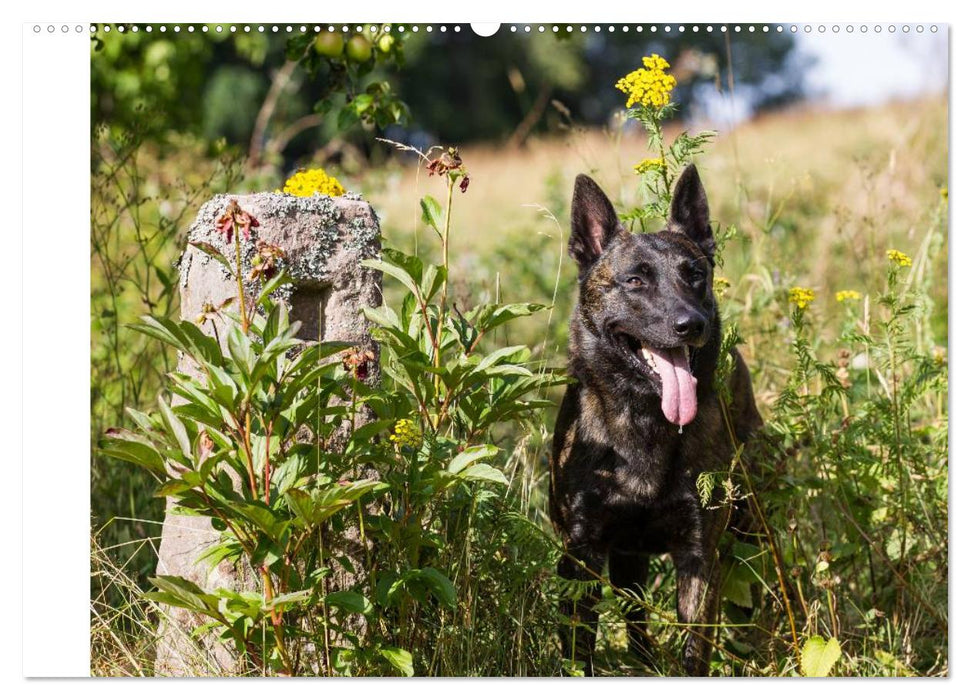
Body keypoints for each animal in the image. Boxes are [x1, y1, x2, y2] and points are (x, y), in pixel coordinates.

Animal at [552, 165, 764, 680]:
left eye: (696, 275)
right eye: (634, 280)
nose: (691, 325)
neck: (644, 418)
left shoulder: (698, 556)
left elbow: (695, 653)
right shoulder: (582, 557)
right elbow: (580, 653)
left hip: (747, 525)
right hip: (627, 562)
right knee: (636, 624)